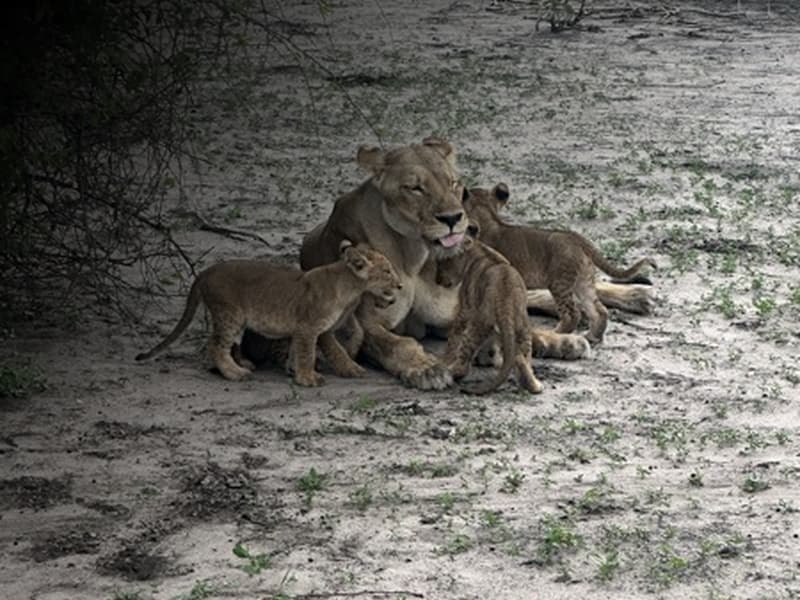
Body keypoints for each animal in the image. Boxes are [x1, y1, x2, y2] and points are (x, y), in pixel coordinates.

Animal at [135, 241, 401, 387]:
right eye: (387, 271)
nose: (400, 285)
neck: (349, 287)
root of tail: (204, 272)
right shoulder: (310, 327)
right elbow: (313, 353)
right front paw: (309, 378)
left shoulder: (303, 329)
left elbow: (297, 351)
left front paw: (294, 372)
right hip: (229, 314)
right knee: (216, 345)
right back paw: (235, 373)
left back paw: (242, 364)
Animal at [436, 234, 543, 395]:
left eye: (443, 262)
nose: (437, 280)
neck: (477, 249)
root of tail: (506, 297)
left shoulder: (466, 309)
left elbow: (454, 336)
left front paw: (445, 359)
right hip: (522, 327)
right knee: (521, 356)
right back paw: (534, 386)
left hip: (479, 324)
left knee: (465, 358)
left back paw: (452, 372)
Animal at [463, 183, 657, 344]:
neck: (488, 217)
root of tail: (576, 238)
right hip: (583, 281)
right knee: (598, 309)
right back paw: (593, 336)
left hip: (559, 282)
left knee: (572, 314)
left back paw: (556, 333)